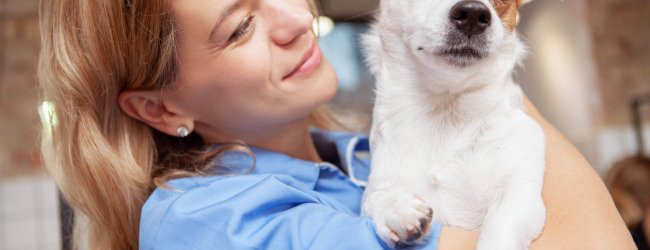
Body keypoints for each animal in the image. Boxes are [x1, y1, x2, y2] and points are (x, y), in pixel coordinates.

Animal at [362, 0, 544, 249]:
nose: (473, 13)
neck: (446, 107)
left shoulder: (521, 194)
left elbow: (500, 226)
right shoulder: (379, 181)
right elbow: (374, 197)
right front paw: (395, 209)